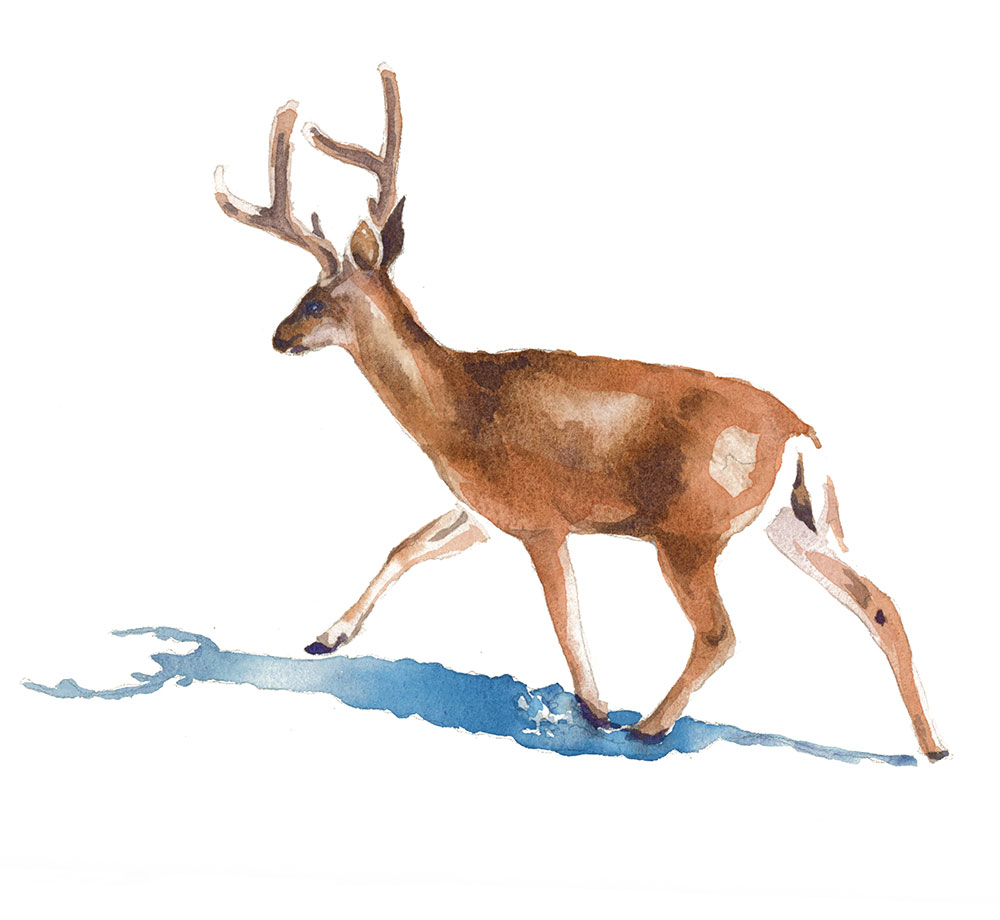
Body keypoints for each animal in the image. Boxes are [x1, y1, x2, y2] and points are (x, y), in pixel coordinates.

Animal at [214, 67, 947, 761]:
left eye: (315, 300)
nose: (277, 335)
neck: (456, 407)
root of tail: (801, 434)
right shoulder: (483, 510)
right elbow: (405, 546)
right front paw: (326, 636)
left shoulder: (539, 517)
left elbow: (563, 615)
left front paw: (595, 708)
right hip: (796, 524)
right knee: (879, 604)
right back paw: (933, 744)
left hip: (690, 533)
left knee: (720, 633)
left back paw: (649, 725)